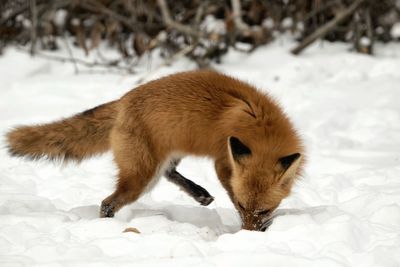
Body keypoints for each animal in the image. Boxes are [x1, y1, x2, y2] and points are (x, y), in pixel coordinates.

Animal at [5, 70, 304, 231]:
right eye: (243, 206)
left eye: (265, 209)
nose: (248, 235)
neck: (263, 131)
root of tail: (123, 100)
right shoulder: (223, 163)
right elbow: (231, 190)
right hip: (140, 176)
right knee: (107, 203)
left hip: (165, 155)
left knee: (170, 172)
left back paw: (200, 194)